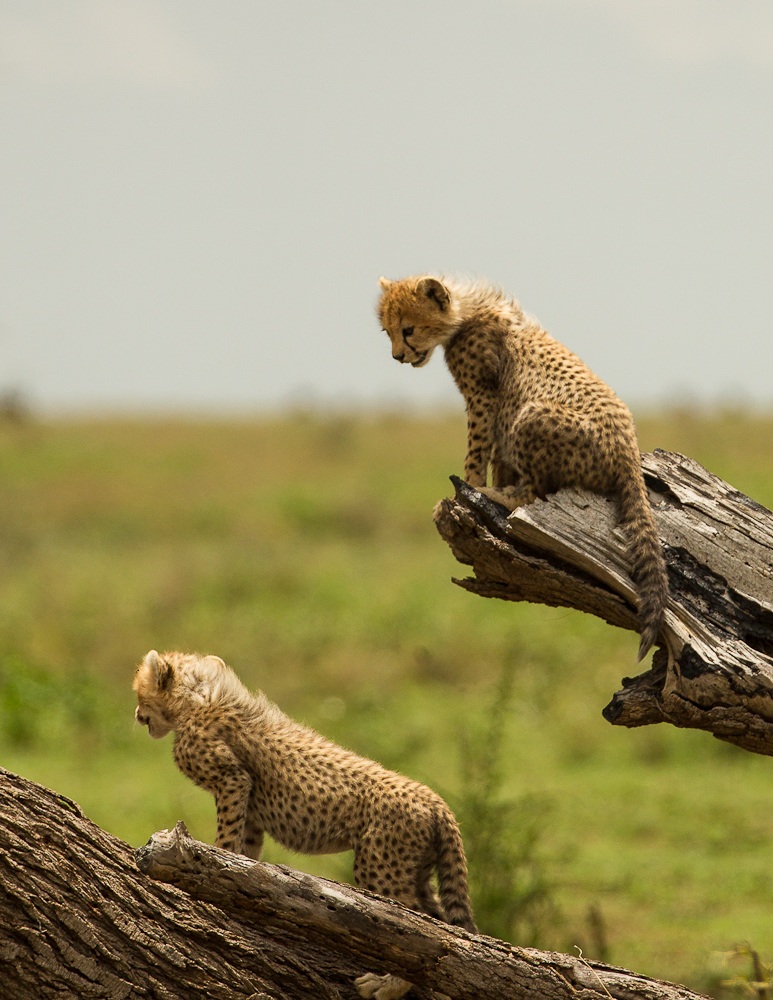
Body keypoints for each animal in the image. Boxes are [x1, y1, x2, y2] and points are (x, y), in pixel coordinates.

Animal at [133, 649, 477, 1000]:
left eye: (140, 695)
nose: (136, 714)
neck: (200, 697)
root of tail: (434, 800)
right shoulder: (251, 807)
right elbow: (246, 850)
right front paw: (237, 886)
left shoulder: (233, 780)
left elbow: (227, 840)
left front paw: (210, 876)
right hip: (416, 867)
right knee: (438, 926)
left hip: (379, 864)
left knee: (412, 927)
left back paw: (387, 984)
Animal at [377, 274, 669, 661]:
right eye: (388, 331)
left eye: (408, 329)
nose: (398, 356)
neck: (466, 311)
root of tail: (629, 453)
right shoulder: (498, 413)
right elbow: (498, 457)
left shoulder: (483, 398)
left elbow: (476, 452)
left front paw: (466, 488)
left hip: (532, 414)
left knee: (532, 494)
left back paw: (493, 495)